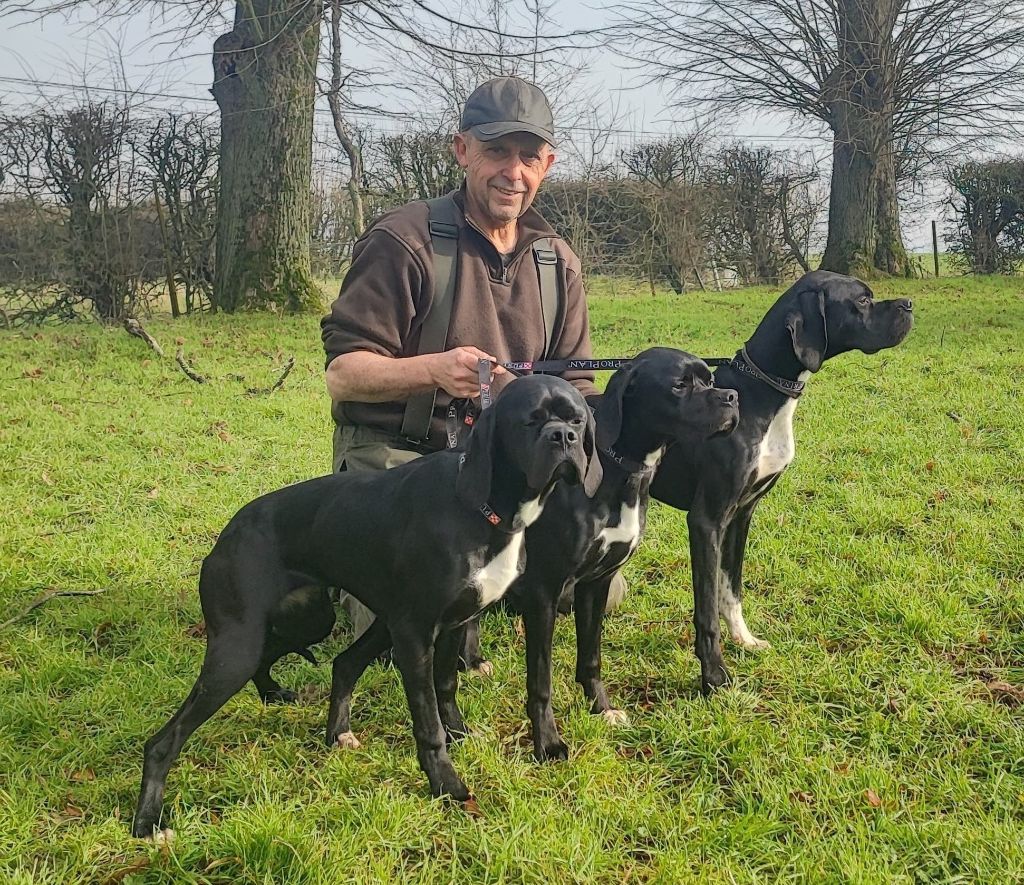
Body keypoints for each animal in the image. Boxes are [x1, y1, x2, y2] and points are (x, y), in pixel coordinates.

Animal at [134, 370, 598, 835]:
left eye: (576, 420)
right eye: (529, 420)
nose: (564, 437)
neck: (482, 507)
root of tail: (224, 539)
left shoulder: (453, 624)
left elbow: (447, 689)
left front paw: (463, 736)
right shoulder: (415, 637)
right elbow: (428, 723)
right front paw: (447, 785)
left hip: (314, 620)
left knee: (332, 661)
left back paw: (311, 716)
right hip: (241, 648)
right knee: (162, 741)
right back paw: (147, 823)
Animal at [647, 270, 913, 692]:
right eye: (862, 301)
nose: (908, 305)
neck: (761, 395)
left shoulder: (741, 516)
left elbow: (731, 587)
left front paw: (744, 639)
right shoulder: (706, 520)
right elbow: (706, 607)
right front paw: (713, 677)